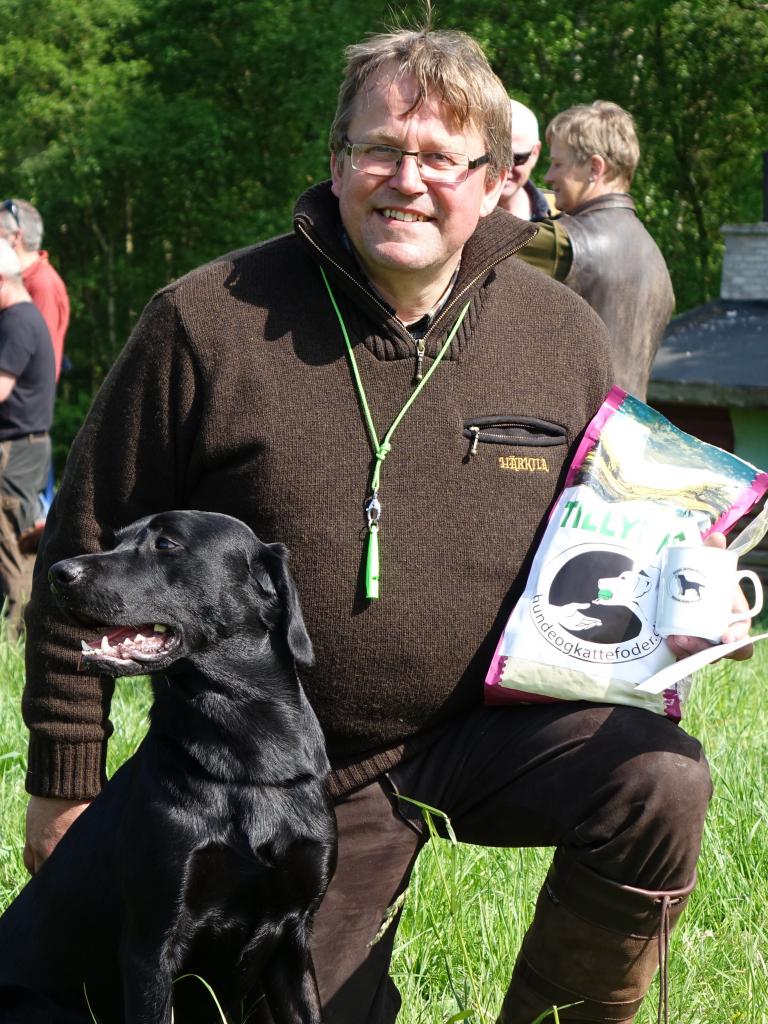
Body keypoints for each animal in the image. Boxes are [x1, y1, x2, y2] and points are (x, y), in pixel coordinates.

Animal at [0, 510, 336, 1024]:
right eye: (115, 540)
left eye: (166, 543)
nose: (58, 573)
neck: (250, 761)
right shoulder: (150, 947)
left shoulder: (294, 939)